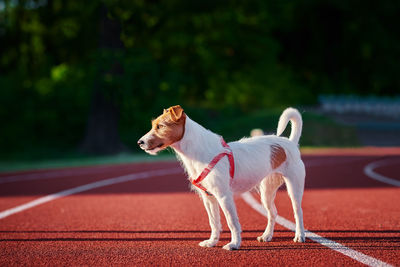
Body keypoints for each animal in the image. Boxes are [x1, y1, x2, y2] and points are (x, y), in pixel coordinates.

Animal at [138, 106, 306, 251]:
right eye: (153, 125)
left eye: (160, 126)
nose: (140, 142)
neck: (198, 152)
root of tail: (290, 142)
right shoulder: (208, 198)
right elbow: (214, 222)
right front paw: (212, 242)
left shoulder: (224, 196)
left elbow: (232, 222)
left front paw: (234, 244)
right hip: (267, 192)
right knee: (273, 213)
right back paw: (267, 236)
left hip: (294, 188)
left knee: (298, 211)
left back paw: (300, 235)